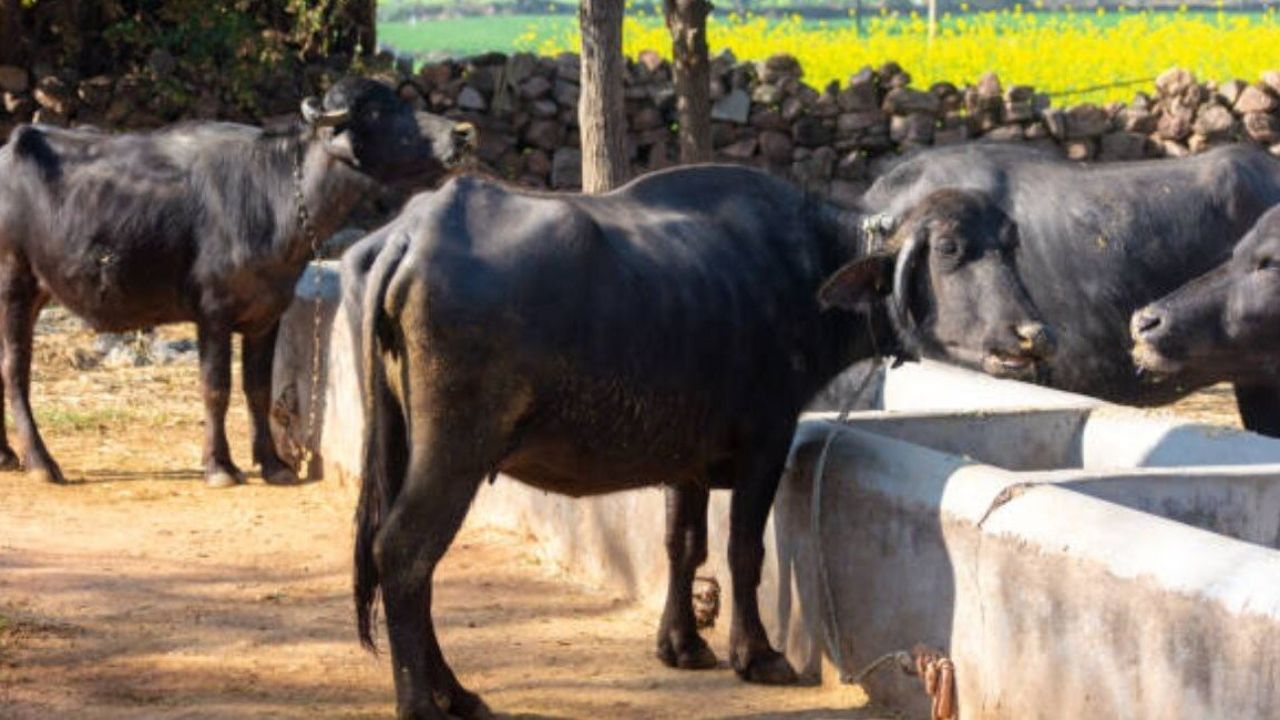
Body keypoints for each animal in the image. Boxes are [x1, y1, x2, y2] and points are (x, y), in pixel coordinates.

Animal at [0, 77, 475, 487]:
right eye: (377, 111)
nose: (462, 133)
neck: (275, 195)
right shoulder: (212, 313)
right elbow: (216, 388)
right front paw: (219, 466)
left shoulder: (267, 315)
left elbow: (258, 388)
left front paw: (274, 463)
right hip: (14, 286)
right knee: (15, 370)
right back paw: (41, 462)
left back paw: (7, 456)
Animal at [343, 165, 1048, 719]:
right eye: (951, 248)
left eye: (1011, 245)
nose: (1030, 334)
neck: (803, 275)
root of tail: (412, 234)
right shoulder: (767, 442)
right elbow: (743, 551)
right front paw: (757, 654)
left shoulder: (684, 459)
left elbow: (682, 545)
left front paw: (681, 644)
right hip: (455, 449)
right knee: (405, 551)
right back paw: (422, 701)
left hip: (399, 438)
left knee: (410, 559)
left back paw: (457, 694)